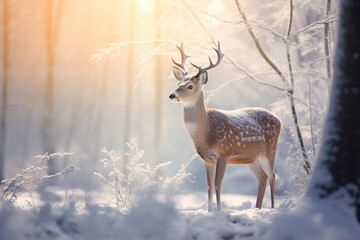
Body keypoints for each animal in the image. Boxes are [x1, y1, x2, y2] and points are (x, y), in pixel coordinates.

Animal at [169, 42, 282, 211]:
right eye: (178, 84)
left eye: (189, 86)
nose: (172, 95)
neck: (206, 132)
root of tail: (279, 119)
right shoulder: (207, 158)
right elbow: (209, 186)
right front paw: (210, 211)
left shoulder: (224, 152)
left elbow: (217, 184)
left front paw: (219, 210)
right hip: (252, 157)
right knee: (262, 178)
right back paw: (257, 208)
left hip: (270, 149)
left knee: (272, 176)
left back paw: (272, 208)